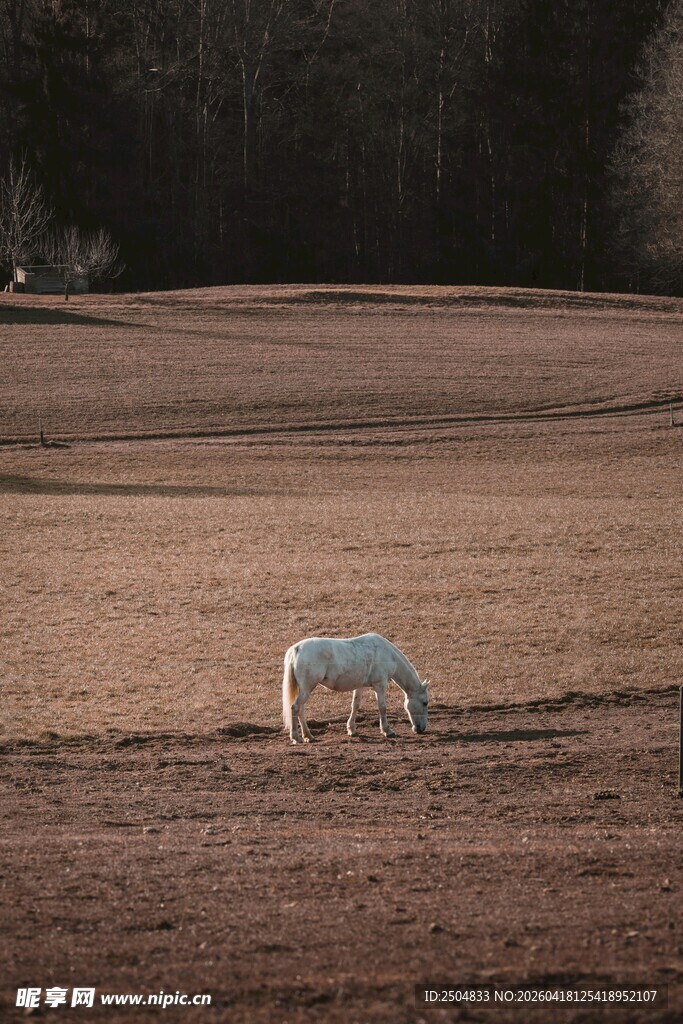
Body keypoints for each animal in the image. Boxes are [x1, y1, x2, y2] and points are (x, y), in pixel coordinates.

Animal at [281, 632, 429, 744]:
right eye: (425, 703)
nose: (421, 729)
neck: (387, 653)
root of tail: (296, 649)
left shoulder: (360, 686)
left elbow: (355, 705)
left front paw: (351, 730)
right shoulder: (380, 685)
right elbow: (382, 707)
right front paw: (387, 731)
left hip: (304, 689)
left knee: (300, 710)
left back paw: (308, 736)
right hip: (307, 688)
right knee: (295, 707)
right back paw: (296, 737)